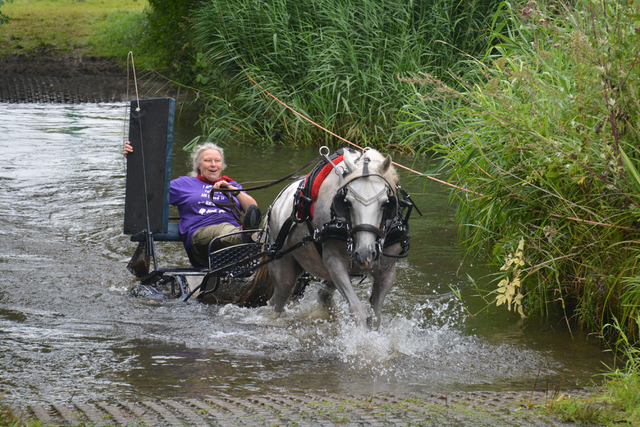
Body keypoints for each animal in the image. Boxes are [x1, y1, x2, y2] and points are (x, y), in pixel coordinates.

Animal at [264, 147, 400, 328]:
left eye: (386, 203)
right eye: (346, 202)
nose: (365, 254)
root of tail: (278, 202)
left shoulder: (387, 271)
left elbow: (375, 318)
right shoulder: (334, 262)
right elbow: (357, 311)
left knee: (323, 295)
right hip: (282, 265)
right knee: (278, 298)